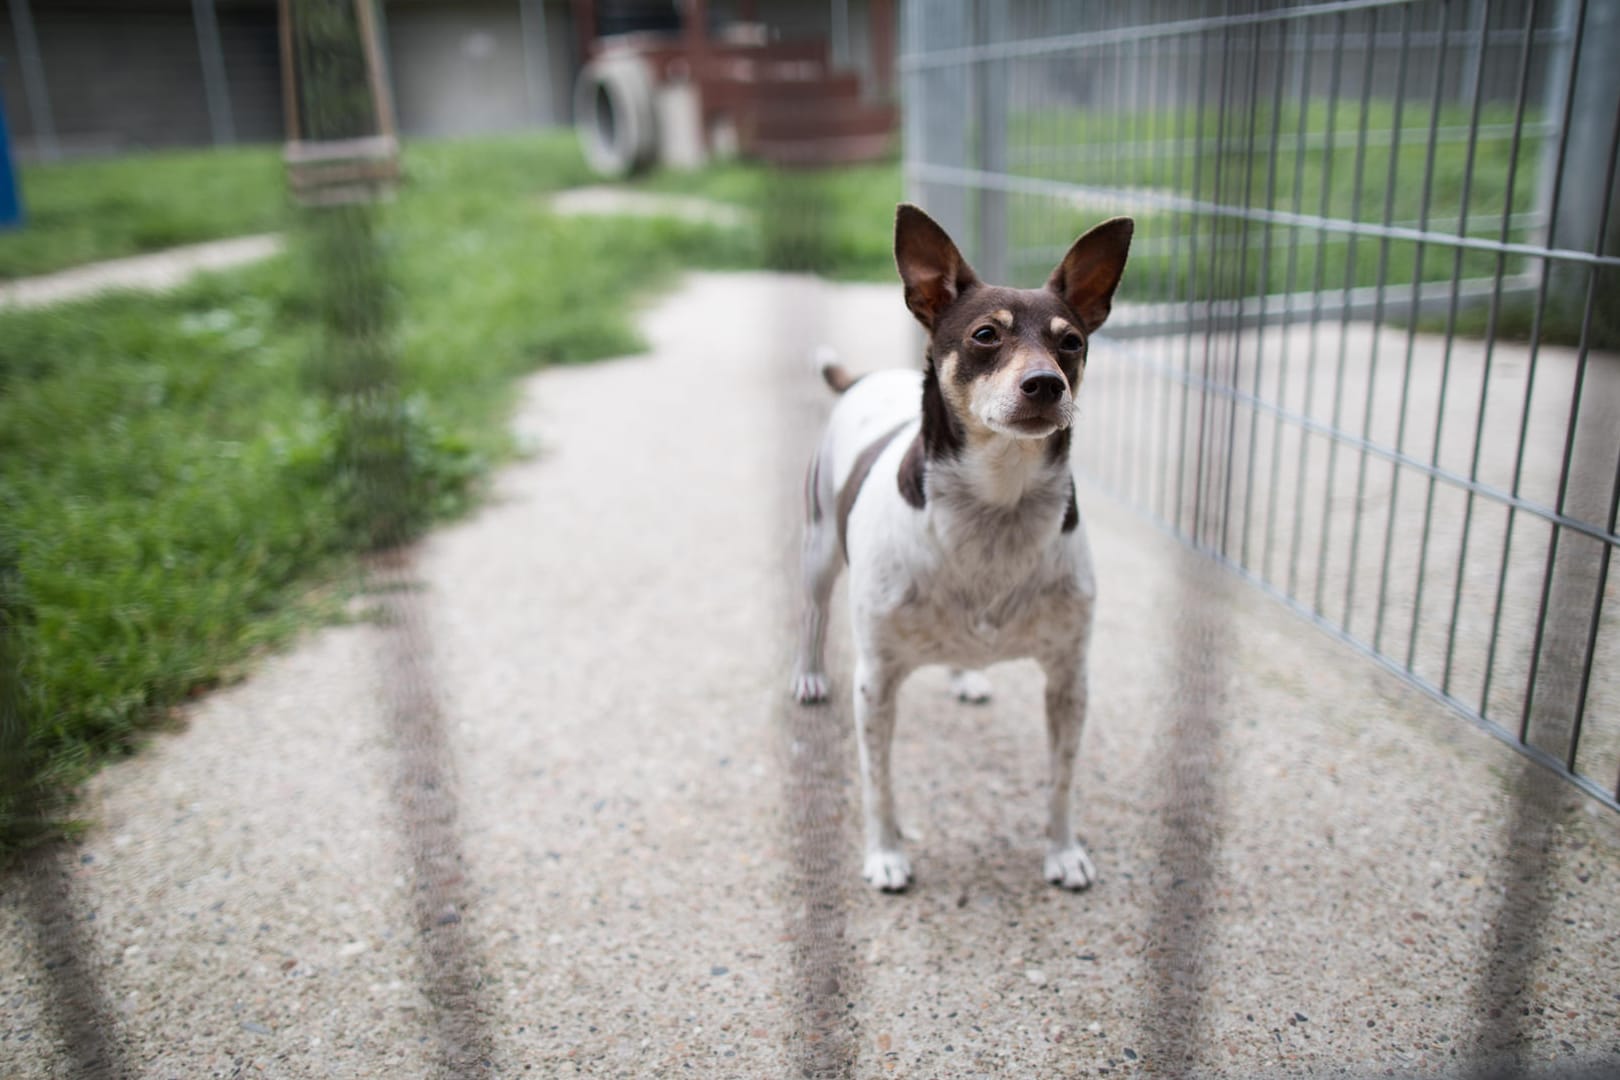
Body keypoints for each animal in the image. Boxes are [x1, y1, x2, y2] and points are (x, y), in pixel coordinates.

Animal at [790, 202, 1134, 893]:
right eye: (985, 335)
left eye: (1071, 343)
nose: (1046, 384)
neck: (995, 510)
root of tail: (867, 376)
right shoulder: (876, 683)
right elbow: (879, 783)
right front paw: (886, 855)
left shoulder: (1069, 680)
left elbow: (1061, 781)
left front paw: (1063, 851)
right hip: (817, 548)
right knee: (812, 613)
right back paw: (810, 675)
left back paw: (965, 674)